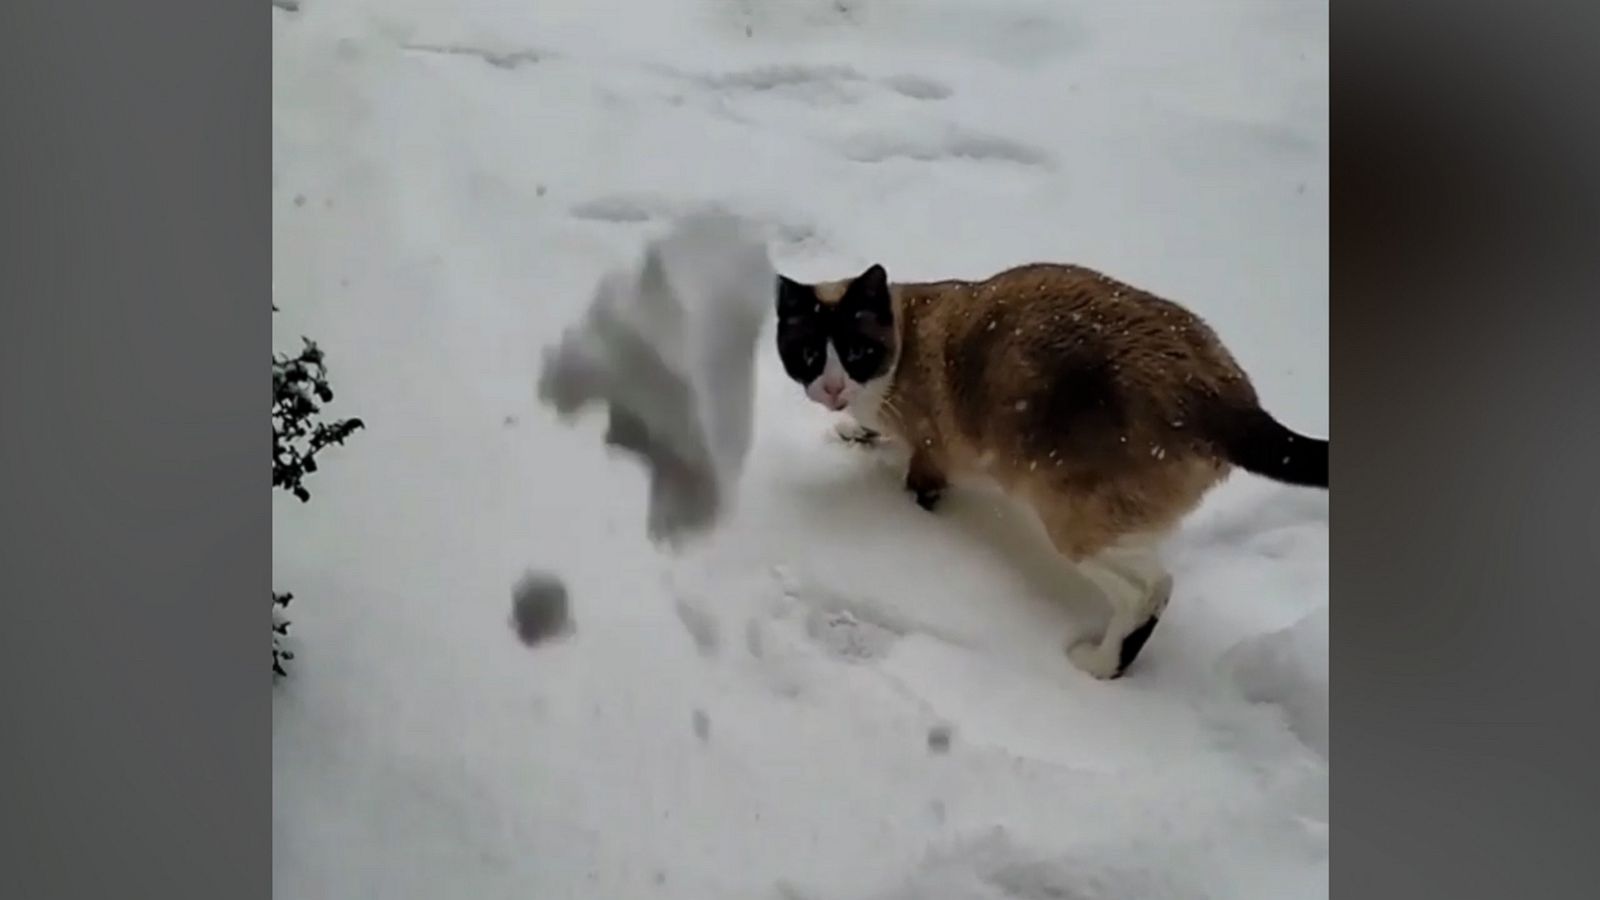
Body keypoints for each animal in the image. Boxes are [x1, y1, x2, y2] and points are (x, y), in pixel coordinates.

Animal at [774, 259, 1324, 672]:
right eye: (808, 354)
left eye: (856, 352)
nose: (833, 390)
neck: (901, 341)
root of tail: (1230, 403)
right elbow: (871, 432)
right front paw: (854, 431)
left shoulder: (929, 463)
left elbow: (917, 490)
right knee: (1159, 583)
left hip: (1069, 519)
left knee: (1148, 589)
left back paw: (1098, 666)